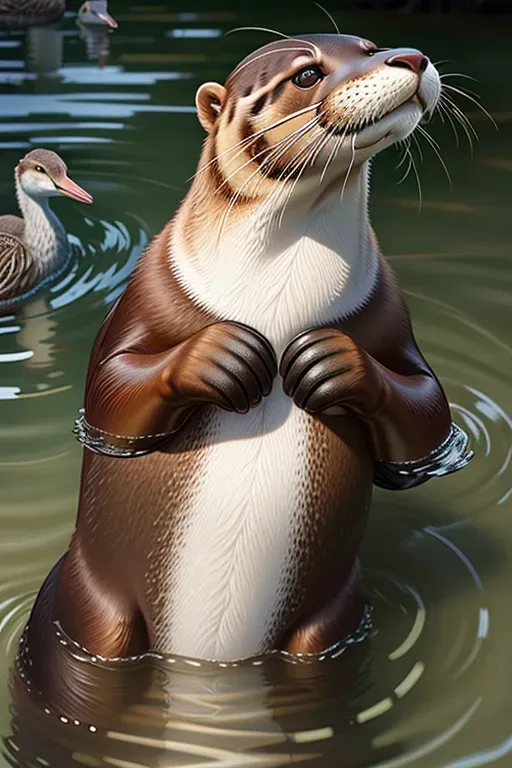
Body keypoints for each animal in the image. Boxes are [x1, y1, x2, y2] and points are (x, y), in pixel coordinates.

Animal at [22, 33, 472, 667]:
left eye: (370, 46)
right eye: (307, 74)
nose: (409, 57)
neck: (281, 301)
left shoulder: (392, 322)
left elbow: (424, 423)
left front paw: (330, 362)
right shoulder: (140, 303)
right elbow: (112, 401)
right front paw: (224, 356)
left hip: (325, 627)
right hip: (94, 615)